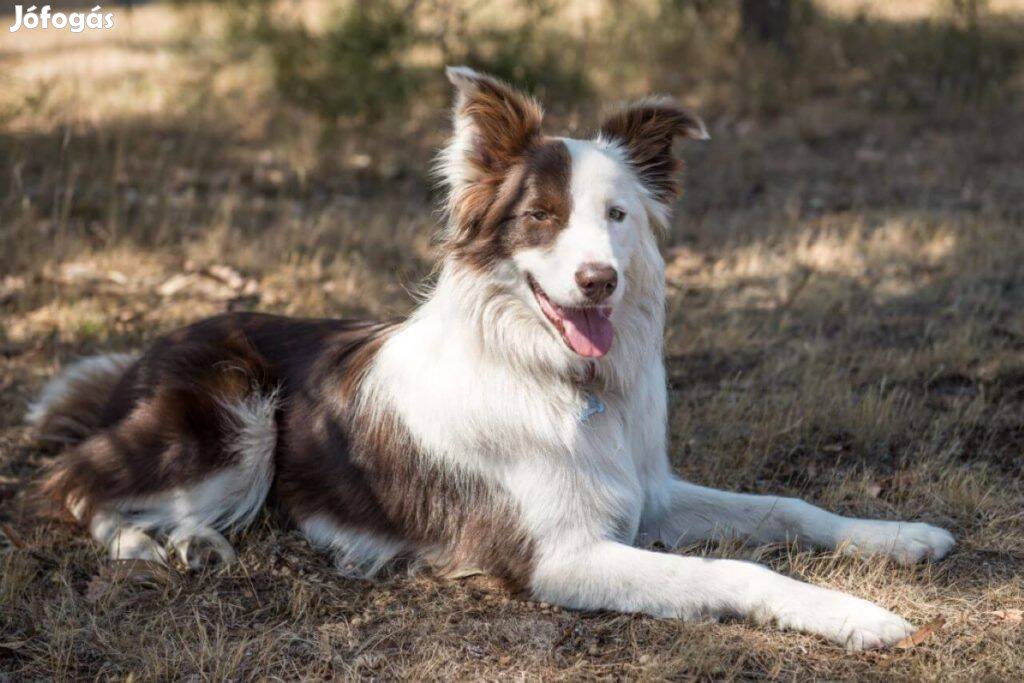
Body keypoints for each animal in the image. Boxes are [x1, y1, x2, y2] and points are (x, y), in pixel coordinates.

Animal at [28, 68, 950, 651]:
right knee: (73, 481)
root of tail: (147, 349)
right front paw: (859, 616)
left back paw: (194, 543)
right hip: (235, 411)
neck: (564, 381)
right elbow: (737, 566)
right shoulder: (560, 557)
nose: (599, 280)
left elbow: (787, 508)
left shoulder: (647, 492)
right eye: (540, 216)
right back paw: (149, 544)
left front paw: (899, 536)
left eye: (617, 215)